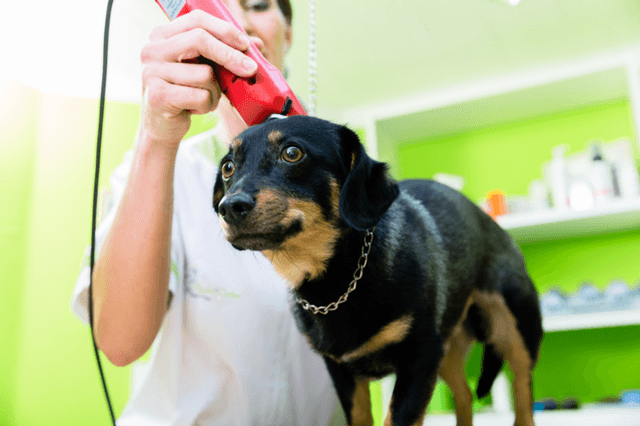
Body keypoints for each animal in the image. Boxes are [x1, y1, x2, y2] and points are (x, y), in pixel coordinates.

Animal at [212, 115, 544, 426]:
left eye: (292, 153)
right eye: (228, 167)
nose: (229, 207)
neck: (337, 283)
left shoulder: (420, 357)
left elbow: (396, 418)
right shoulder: (344, 373)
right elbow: (360, 417)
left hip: (516, 327)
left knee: (523, 390)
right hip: (448, 351)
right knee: (464, 394)